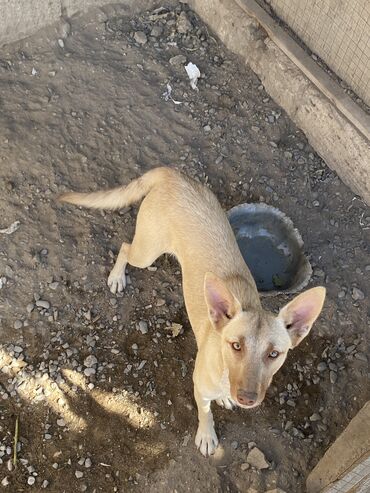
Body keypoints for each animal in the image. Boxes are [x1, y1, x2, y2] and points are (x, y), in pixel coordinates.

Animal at [59, 167, 326, 456]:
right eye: (236, 346)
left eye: (274, 354)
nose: (246, 398)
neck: (224, 369)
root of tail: (172, 174)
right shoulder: (200, 387)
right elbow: (205, 412)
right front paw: (207, 435)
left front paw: (225, 399)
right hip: (146, 251)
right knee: (124, 247)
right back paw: (117, 277)